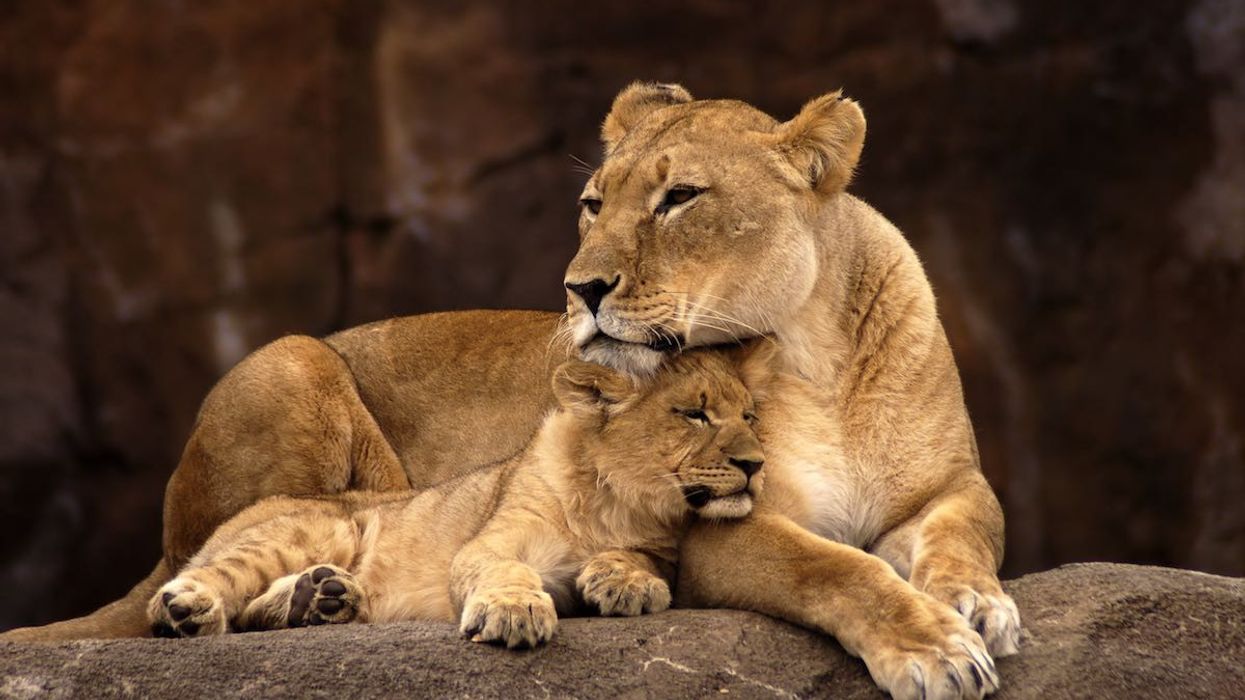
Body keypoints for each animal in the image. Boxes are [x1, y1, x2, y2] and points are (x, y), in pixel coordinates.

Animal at [146, 348, 771, 649]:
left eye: (749, 416)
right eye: (694, 414)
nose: (756, 464)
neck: (618, 502)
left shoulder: (663, 548)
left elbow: (644, 560)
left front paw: (625, 581)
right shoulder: (488, 543)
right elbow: (504, 571)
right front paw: (515, 613)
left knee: (255, 610)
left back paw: (322, 599)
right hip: (318, 527)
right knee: (211, 586)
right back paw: (190, 609)